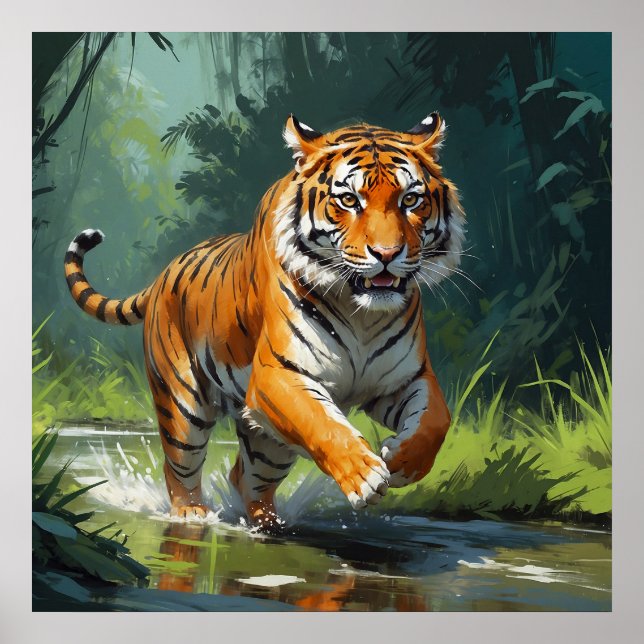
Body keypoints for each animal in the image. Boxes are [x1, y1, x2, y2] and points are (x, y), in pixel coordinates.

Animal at [64, 112, 465, 530]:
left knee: (245, 476)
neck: (362, 314)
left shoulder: (406, 378)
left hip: (268, 443)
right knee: (179, 466)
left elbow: (437, 419)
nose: (386, 254)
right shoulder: (278, 374)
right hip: (182, 406)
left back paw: (268, 523)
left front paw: (402, 461)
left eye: (410, 199)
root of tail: (161, 277)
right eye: (349, 200)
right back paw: (192, 513)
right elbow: (324, 425)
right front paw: (365, 475)